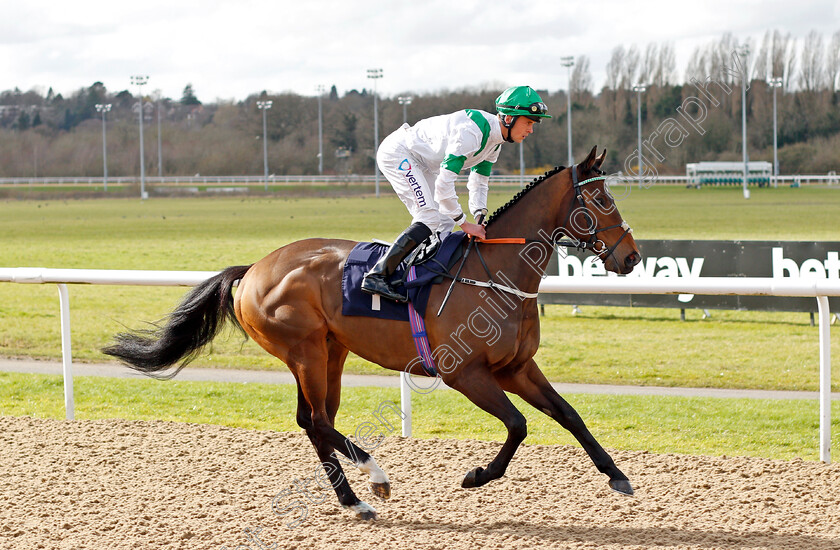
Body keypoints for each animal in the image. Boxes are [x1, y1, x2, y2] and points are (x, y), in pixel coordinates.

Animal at [105, 146, 644, 520]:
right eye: (601, 198)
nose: (632, 257)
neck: (496, 273)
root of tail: (255, 267)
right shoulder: (466, 374)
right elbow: (518, 425)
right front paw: (477, 475)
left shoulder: (516, 367)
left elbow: (569, 415)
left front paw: (617, 476)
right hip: (304, 351)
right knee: (316, 421)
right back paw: (373, 480)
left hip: (330, 352)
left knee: (314, 421)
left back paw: (354, 499)